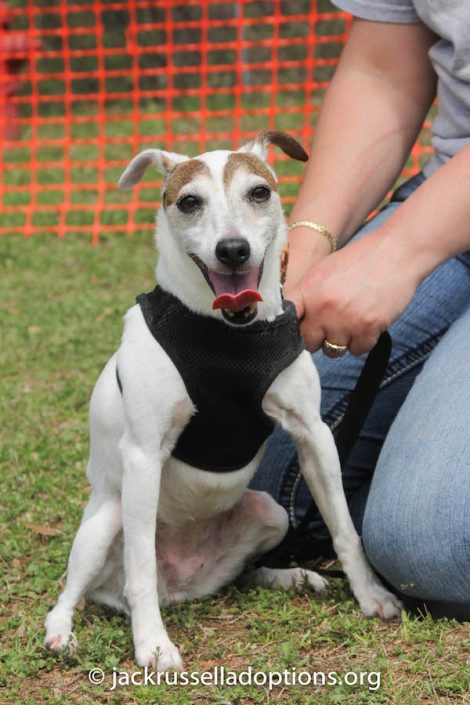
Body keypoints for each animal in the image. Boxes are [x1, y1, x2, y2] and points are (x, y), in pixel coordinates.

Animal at [44, 131, 400, 672]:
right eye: (189, 202)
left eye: (259, 192)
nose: (232, 249)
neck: (228, 336)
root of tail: (181, 586)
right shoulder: (143, 457)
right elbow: (140, 565)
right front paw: (152, 644)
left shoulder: (314, 435)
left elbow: (344, 529)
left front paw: (370, 595)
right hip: (105, 522)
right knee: (77, 591)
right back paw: (63, 632)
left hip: (271, 512)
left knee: (244, 572)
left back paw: (291, 576)